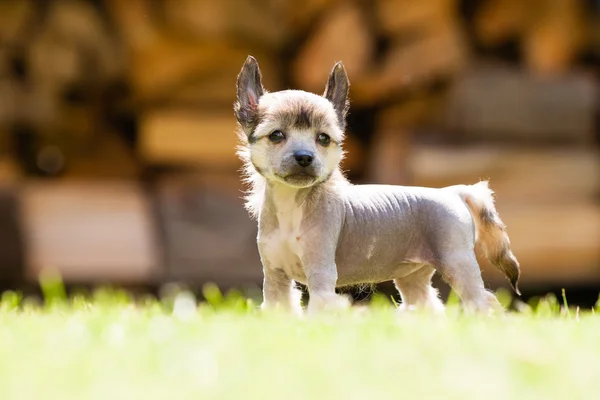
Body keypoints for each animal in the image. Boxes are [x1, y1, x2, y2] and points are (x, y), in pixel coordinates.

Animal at [234, 54, 520, 314]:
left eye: (323, 139)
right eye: (276, 135)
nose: (304, 157)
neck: (292, 205)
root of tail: (452, 192)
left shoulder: (320, 276)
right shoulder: (276, 279)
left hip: (457, 262)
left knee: (483, 302)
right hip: (412, 276)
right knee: (427, 304)